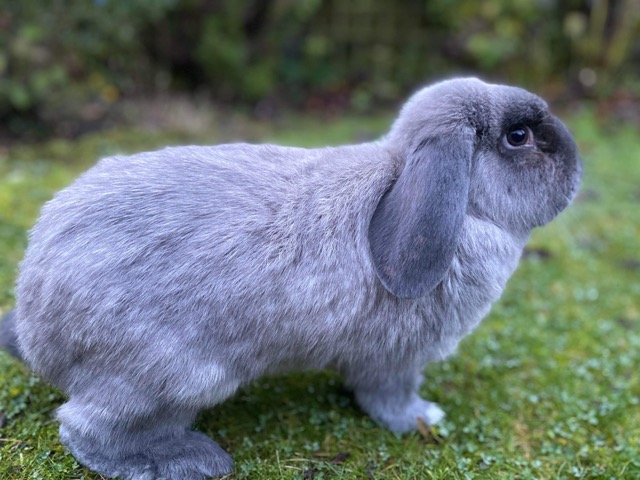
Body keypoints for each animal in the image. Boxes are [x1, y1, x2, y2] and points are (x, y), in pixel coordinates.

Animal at [0, 77, 581, 479]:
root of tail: (34, 324)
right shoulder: (393, 358)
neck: (466, 212)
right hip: (176, 376)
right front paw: (422, 419)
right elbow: (390, 399)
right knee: (86, 428)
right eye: (518, 136)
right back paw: (188, 460)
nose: (577, 165)